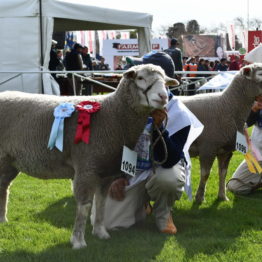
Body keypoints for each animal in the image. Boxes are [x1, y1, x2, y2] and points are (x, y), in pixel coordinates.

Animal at [0, 64, 177, 249]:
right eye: (140, 78)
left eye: (165, 81)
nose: (163, 96)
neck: (114, 115)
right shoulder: (87, 167)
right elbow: (84, 206)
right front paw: (78, 241)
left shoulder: (106, 172)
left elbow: (101, 203)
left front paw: (101, 233)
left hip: (9, 162)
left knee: (3, 187)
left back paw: (3, 220)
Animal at [180, 63, 262, 203]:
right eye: (260, 73)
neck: (227, 105)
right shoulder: (208, 148)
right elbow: (205, 174)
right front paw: (200, 197)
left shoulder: (226, 151)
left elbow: (223, 173)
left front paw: (222, 196)